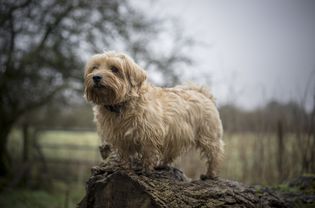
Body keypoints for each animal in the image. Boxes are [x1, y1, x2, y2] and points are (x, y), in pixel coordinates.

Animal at [84, 51, 225, 179]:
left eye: (114, 69)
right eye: (94, 68)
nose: (96, 77)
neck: (121, 105)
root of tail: (203, 94)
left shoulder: (150, 134)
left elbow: (148, 153)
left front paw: (146, 170)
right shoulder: (119, 138)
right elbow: (124, 155)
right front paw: (124, 169)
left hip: (208, 135)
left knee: (215, 154)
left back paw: (211, 174)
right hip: (176, 136)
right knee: (172, 152)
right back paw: (162, 164)